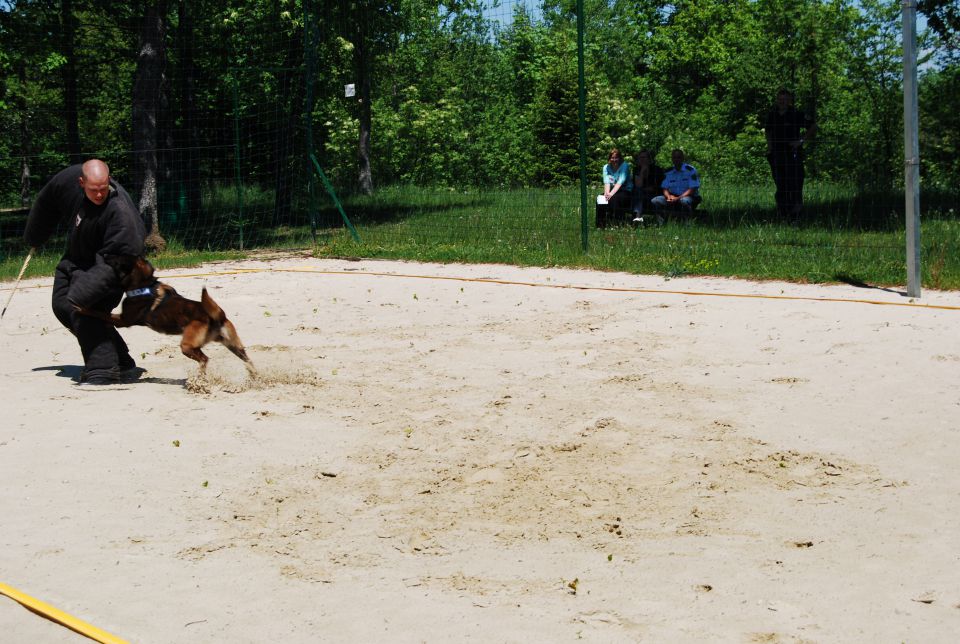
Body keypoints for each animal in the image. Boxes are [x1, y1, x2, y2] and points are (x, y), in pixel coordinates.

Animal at [75, 256, 253, 374]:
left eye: (117, 259)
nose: (103, 255)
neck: (144, 285)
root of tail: (216, 316)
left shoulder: (123, 320)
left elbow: (99, 313)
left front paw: (81, 307)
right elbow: (103, 315)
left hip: (187, 346)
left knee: (204, 359)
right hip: (234, 346)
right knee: (247, 360)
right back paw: (254, 377)